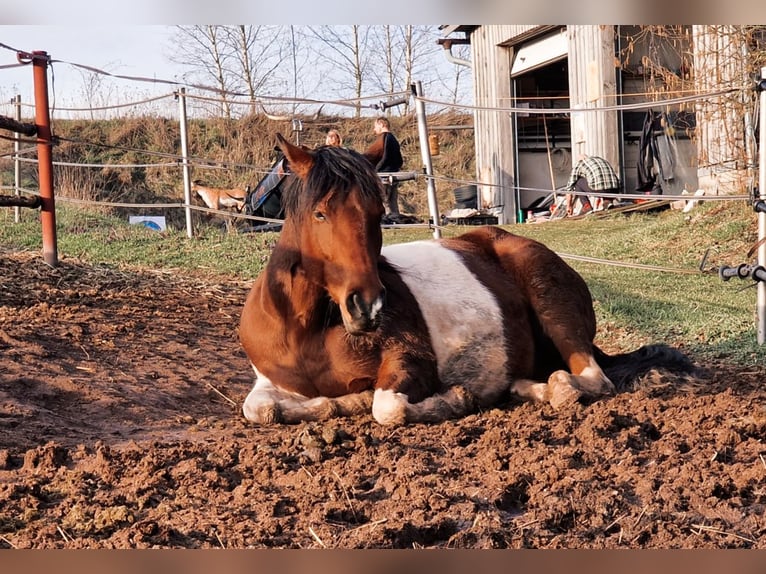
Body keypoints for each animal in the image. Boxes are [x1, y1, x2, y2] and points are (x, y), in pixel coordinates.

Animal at [238, 133, 696, 426]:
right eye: (320, 213)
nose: (366, 307)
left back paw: (550, 388)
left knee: (589, 379)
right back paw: (525, 387)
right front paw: (338, 403)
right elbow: (259, 409)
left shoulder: (411, 362)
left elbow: (387, 407)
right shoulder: (268, 381)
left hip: (553, 306)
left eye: (376, 213)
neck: (307, 329)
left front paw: (456, 399)